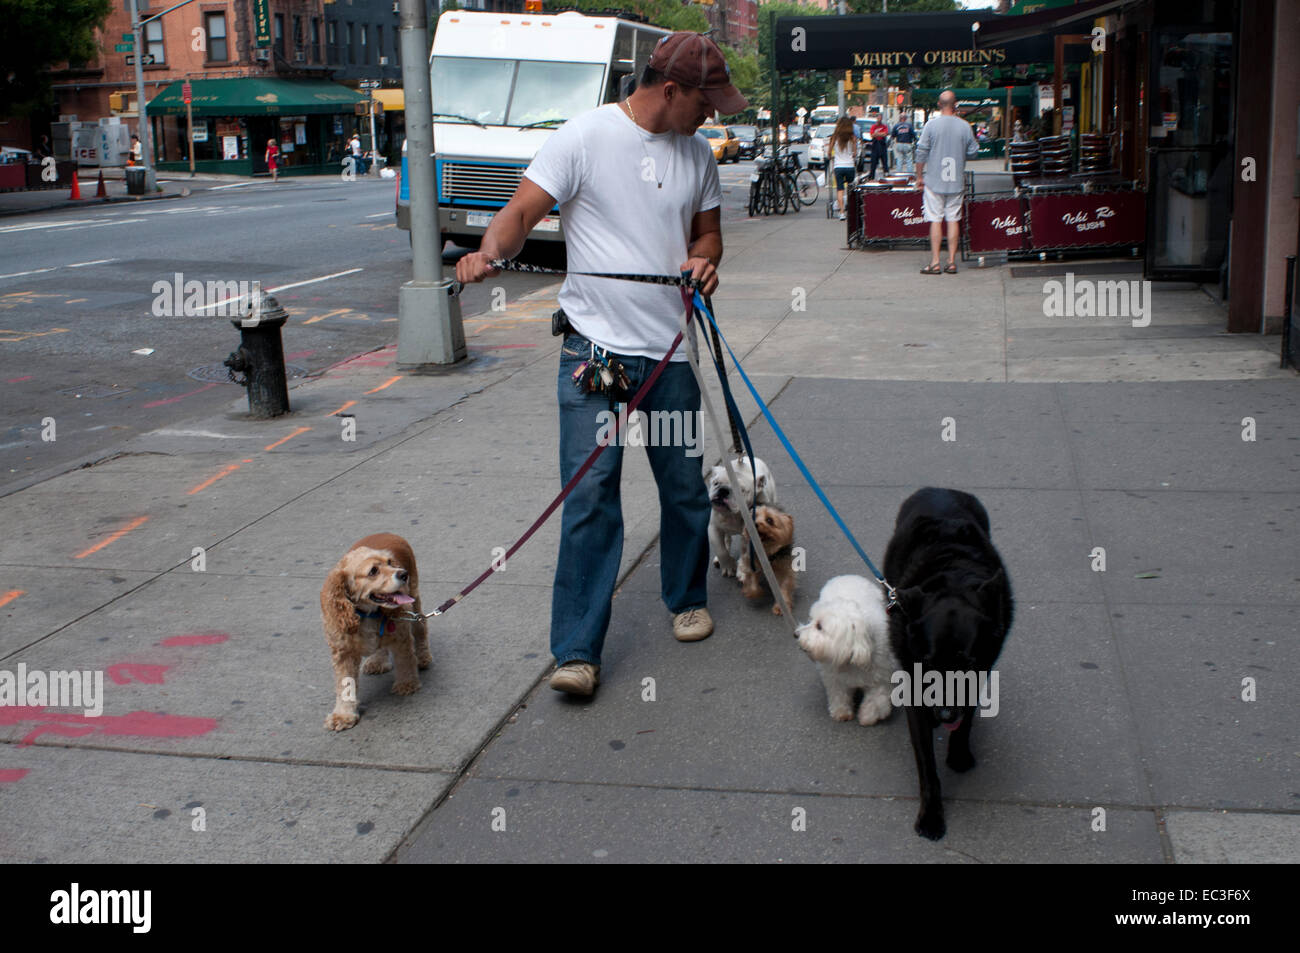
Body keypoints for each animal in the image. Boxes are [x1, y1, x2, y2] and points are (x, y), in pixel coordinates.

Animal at [319, 535, 431, 728]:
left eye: (390, 562)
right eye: (373, 571)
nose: (403, 574)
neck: (368, 613)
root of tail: (389, 533)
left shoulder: (401, 634)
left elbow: (405, 661)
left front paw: (407, 684)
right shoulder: (343, 652)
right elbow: (345, 684)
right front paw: (343, 715)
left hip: (414, 600)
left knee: (421, 626)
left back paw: (423, 657)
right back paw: (378, 661)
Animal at [790, 577, 894, 722]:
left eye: (819, 626)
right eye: (811, 620)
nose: (796, 634)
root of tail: (849, 576)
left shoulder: (880, 677)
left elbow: (876, 699)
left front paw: (868, 716)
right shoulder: (834, 678)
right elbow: (838, 694)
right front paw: (841, 711)